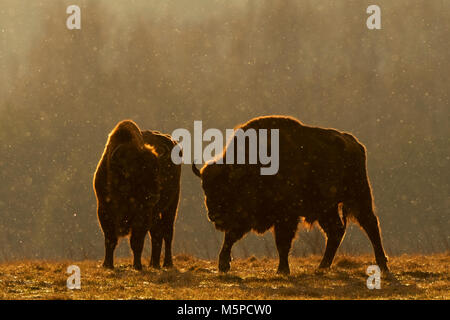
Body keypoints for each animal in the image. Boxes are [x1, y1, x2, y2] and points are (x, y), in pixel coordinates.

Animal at [94, 120, 180, 270]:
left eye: (157, 169)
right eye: (137, 171)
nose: (154, 195)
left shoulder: (142, 214)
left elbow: (136, 241)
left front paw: (137, 265)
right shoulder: (104, 210)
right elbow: (110, 239)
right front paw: (107, 264)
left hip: (172, 205)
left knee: (168, 232)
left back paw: (167, 263)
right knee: (157, 234)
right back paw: (154, 264)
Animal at [193, 116, 390, 274]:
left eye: (227, 188)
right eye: (205, 188)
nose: (214, 215)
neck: (250, 169)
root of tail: (354, 143)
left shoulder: (286, 216)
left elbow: (282, 242)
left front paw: (282, 270)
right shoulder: (245, 218)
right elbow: (230, 237)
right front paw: (223, 265)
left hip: (358, 196)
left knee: (370, 225)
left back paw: (383, 265)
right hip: (326, 208)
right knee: (336, 231)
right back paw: (322, 267)